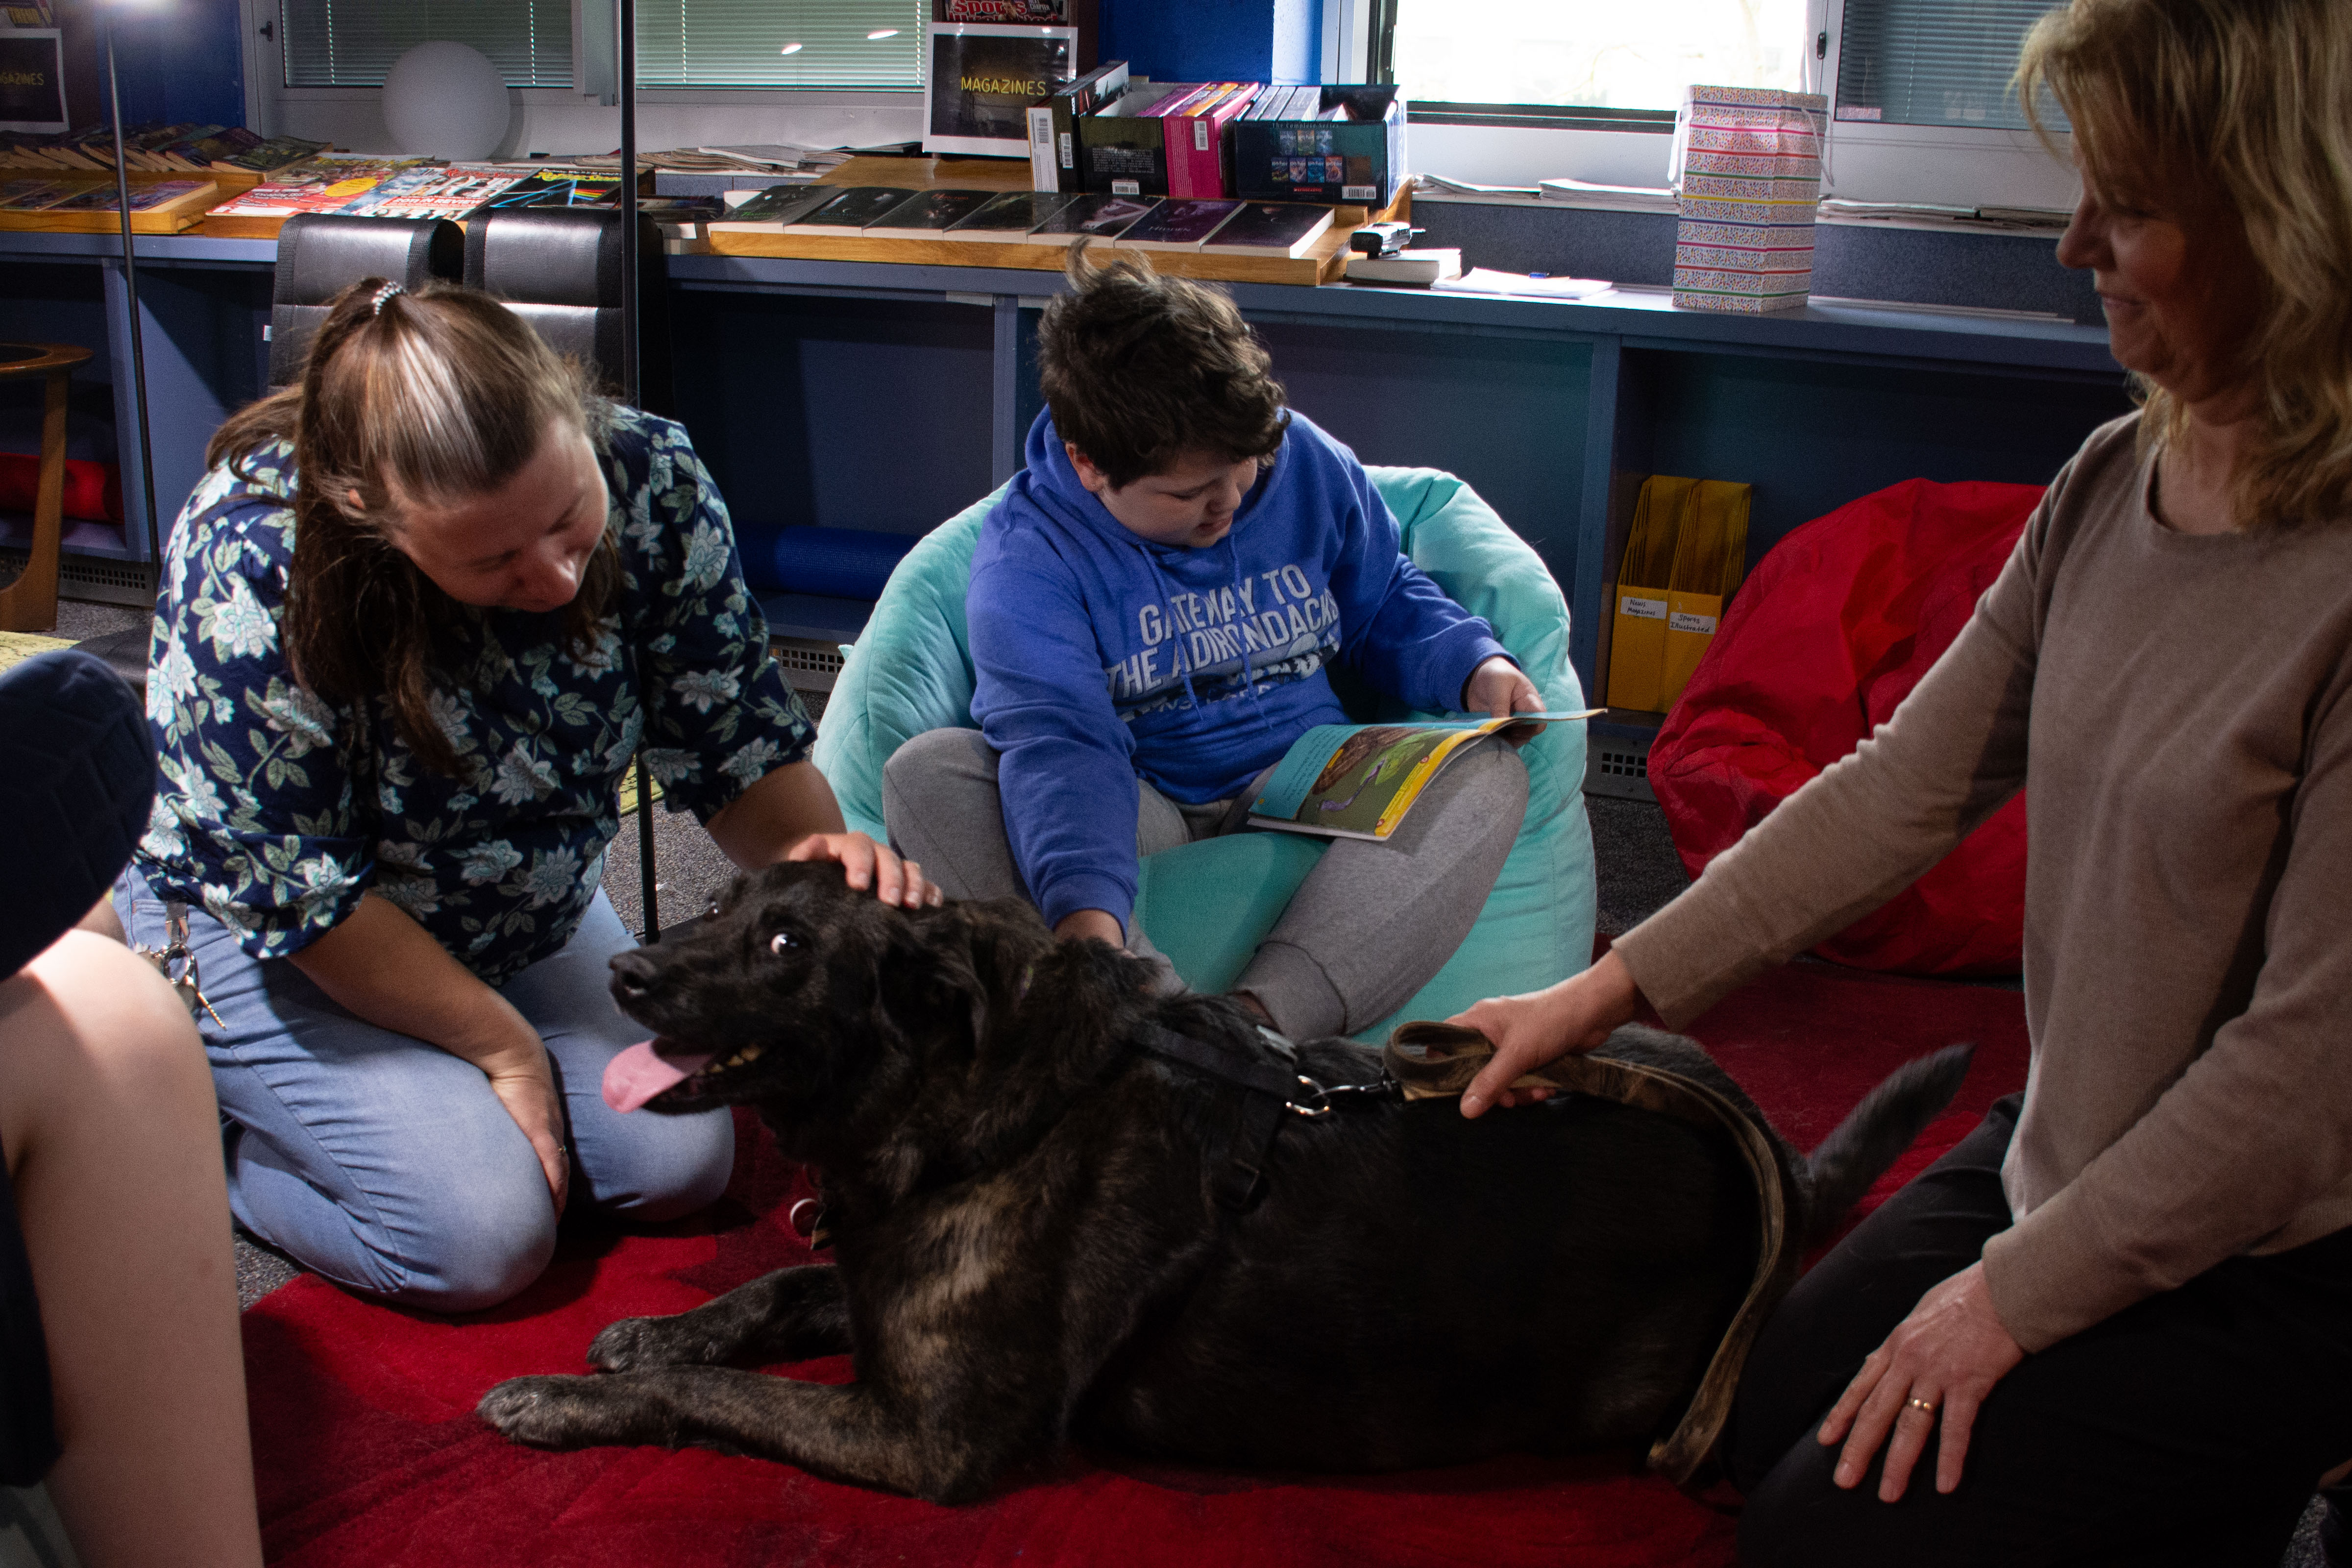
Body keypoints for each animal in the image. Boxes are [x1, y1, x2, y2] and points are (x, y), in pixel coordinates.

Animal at [477, 865, 1966, 1504]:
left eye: (786, 943)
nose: (627, 974)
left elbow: (722, 1399)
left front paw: (567, 1396)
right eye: (721, 903)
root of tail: (1779, 1158)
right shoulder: (888, 1294)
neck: (977, 1098)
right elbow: (784, 1287)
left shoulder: (928, 1439)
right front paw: (656, 1329)